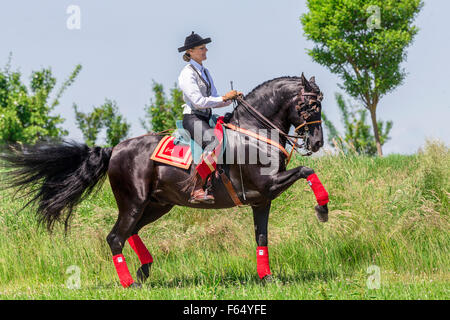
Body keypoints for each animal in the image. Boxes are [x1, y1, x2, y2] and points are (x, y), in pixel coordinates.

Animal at [1, 74, 328, 288]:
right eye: (310, 106)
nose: (316, 142)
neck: (254, 133)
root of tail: (114, 150)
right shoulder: (267, 185)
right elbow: (307, 170)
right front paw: (322, 209)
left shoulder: (261, 200)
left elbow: (262, 238)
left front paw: (267, 278)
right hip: (133, 202)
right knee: (115, 237)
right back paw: (130, 283)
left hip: (158, 205)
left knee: (130, 233)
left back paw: (144, 270)